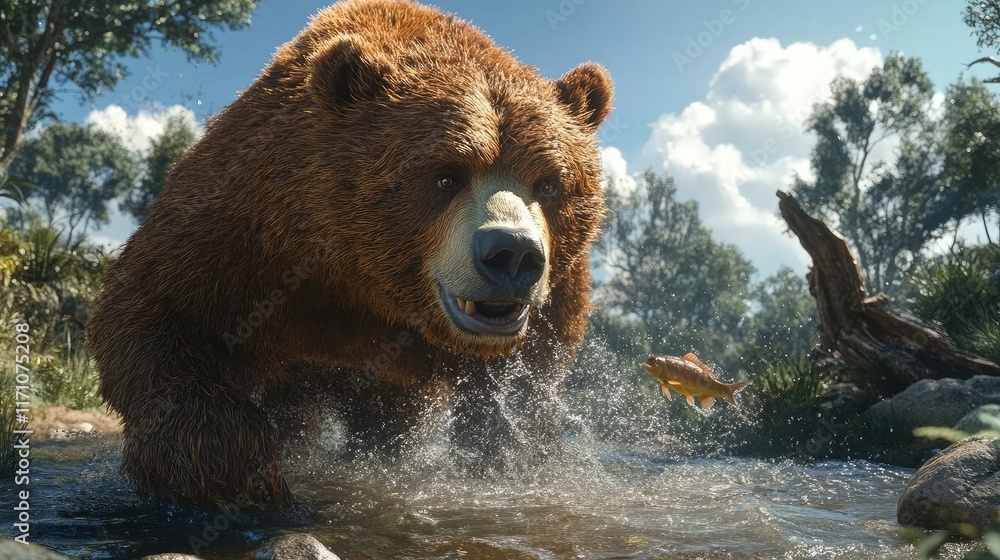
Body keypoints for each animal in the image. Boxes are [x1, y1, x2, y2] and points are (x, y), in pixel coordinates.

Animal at [87, 0, 612, 511]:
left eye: (550, 183)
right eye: (445, 175)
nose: (512, 255)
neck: (361, 282)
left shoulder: (554, 300)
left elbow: (522, 398)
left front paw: (513, 464)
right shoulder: (242, 227)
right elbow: (150, 311)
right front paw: (237, 475)